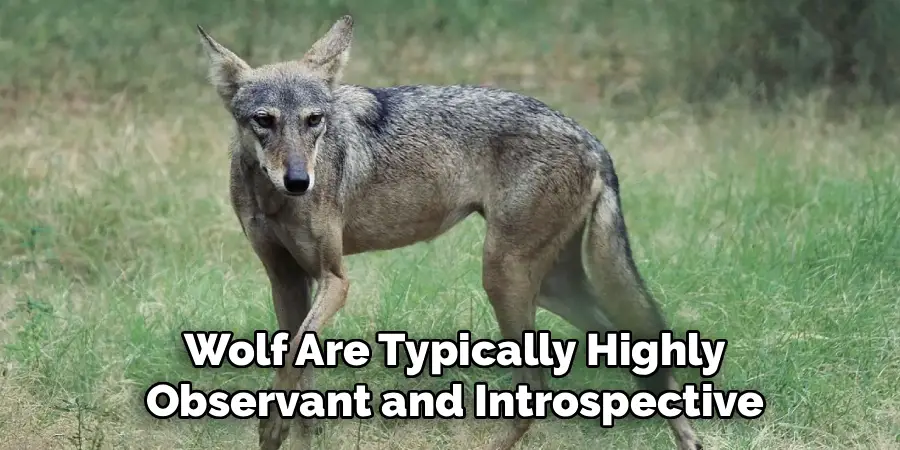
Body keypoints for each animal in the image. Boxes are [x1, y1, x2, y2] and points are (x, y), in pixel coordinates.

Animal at [197, 15, 702, 450]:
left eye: (313, 120)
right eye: (264, 120)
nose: (300, 180)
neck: (272, 197)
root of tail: (594, 141)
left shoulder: (335, 279)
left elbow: (293, 361)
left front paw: (273, 429)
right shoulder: (287, 280)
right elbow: (298, 376)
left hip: (504, 277)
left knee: (537, 390)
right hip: (549, 287)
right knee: (636, 352)